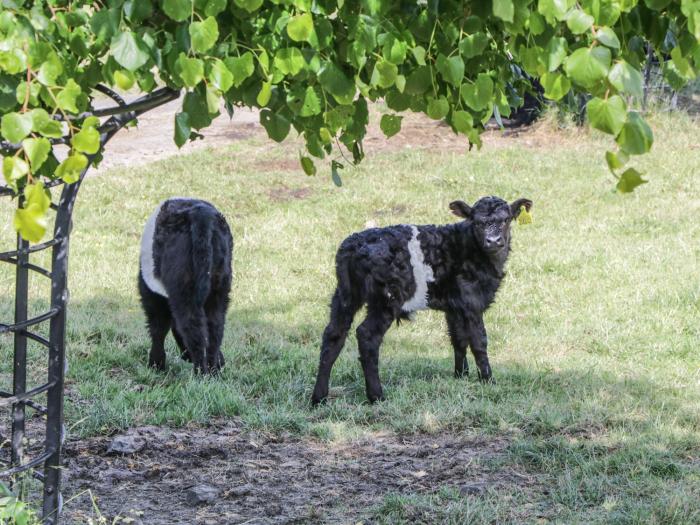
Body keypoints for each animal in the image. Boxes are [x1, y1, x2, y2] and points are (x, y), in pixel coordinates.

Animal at [138, 196, 234, 372]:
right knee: (215, 328)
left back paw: (200, 371)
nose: (185, 356)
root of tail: (201, 213)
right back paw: (213, 370)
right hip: (220, 287)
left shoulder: (151, 293)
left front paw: (156, 364)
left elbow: (158, 327)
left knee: (193, 329)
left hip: (183, 289)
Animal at [310, 194, 532, 404]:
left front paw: (460, 376)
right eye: (476, 222)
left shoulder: (455, 306)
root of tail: (355, 246)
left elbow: (458, 339)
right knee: (367, 336)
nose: (493, 240)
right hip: (386, 298)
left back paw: (319, 398)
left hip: (345, 294)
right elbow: (479, 341)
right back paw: (377, 396)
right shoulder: (472, 302)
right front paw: (488, 381)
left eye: (506, 220)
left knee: (333, 335)